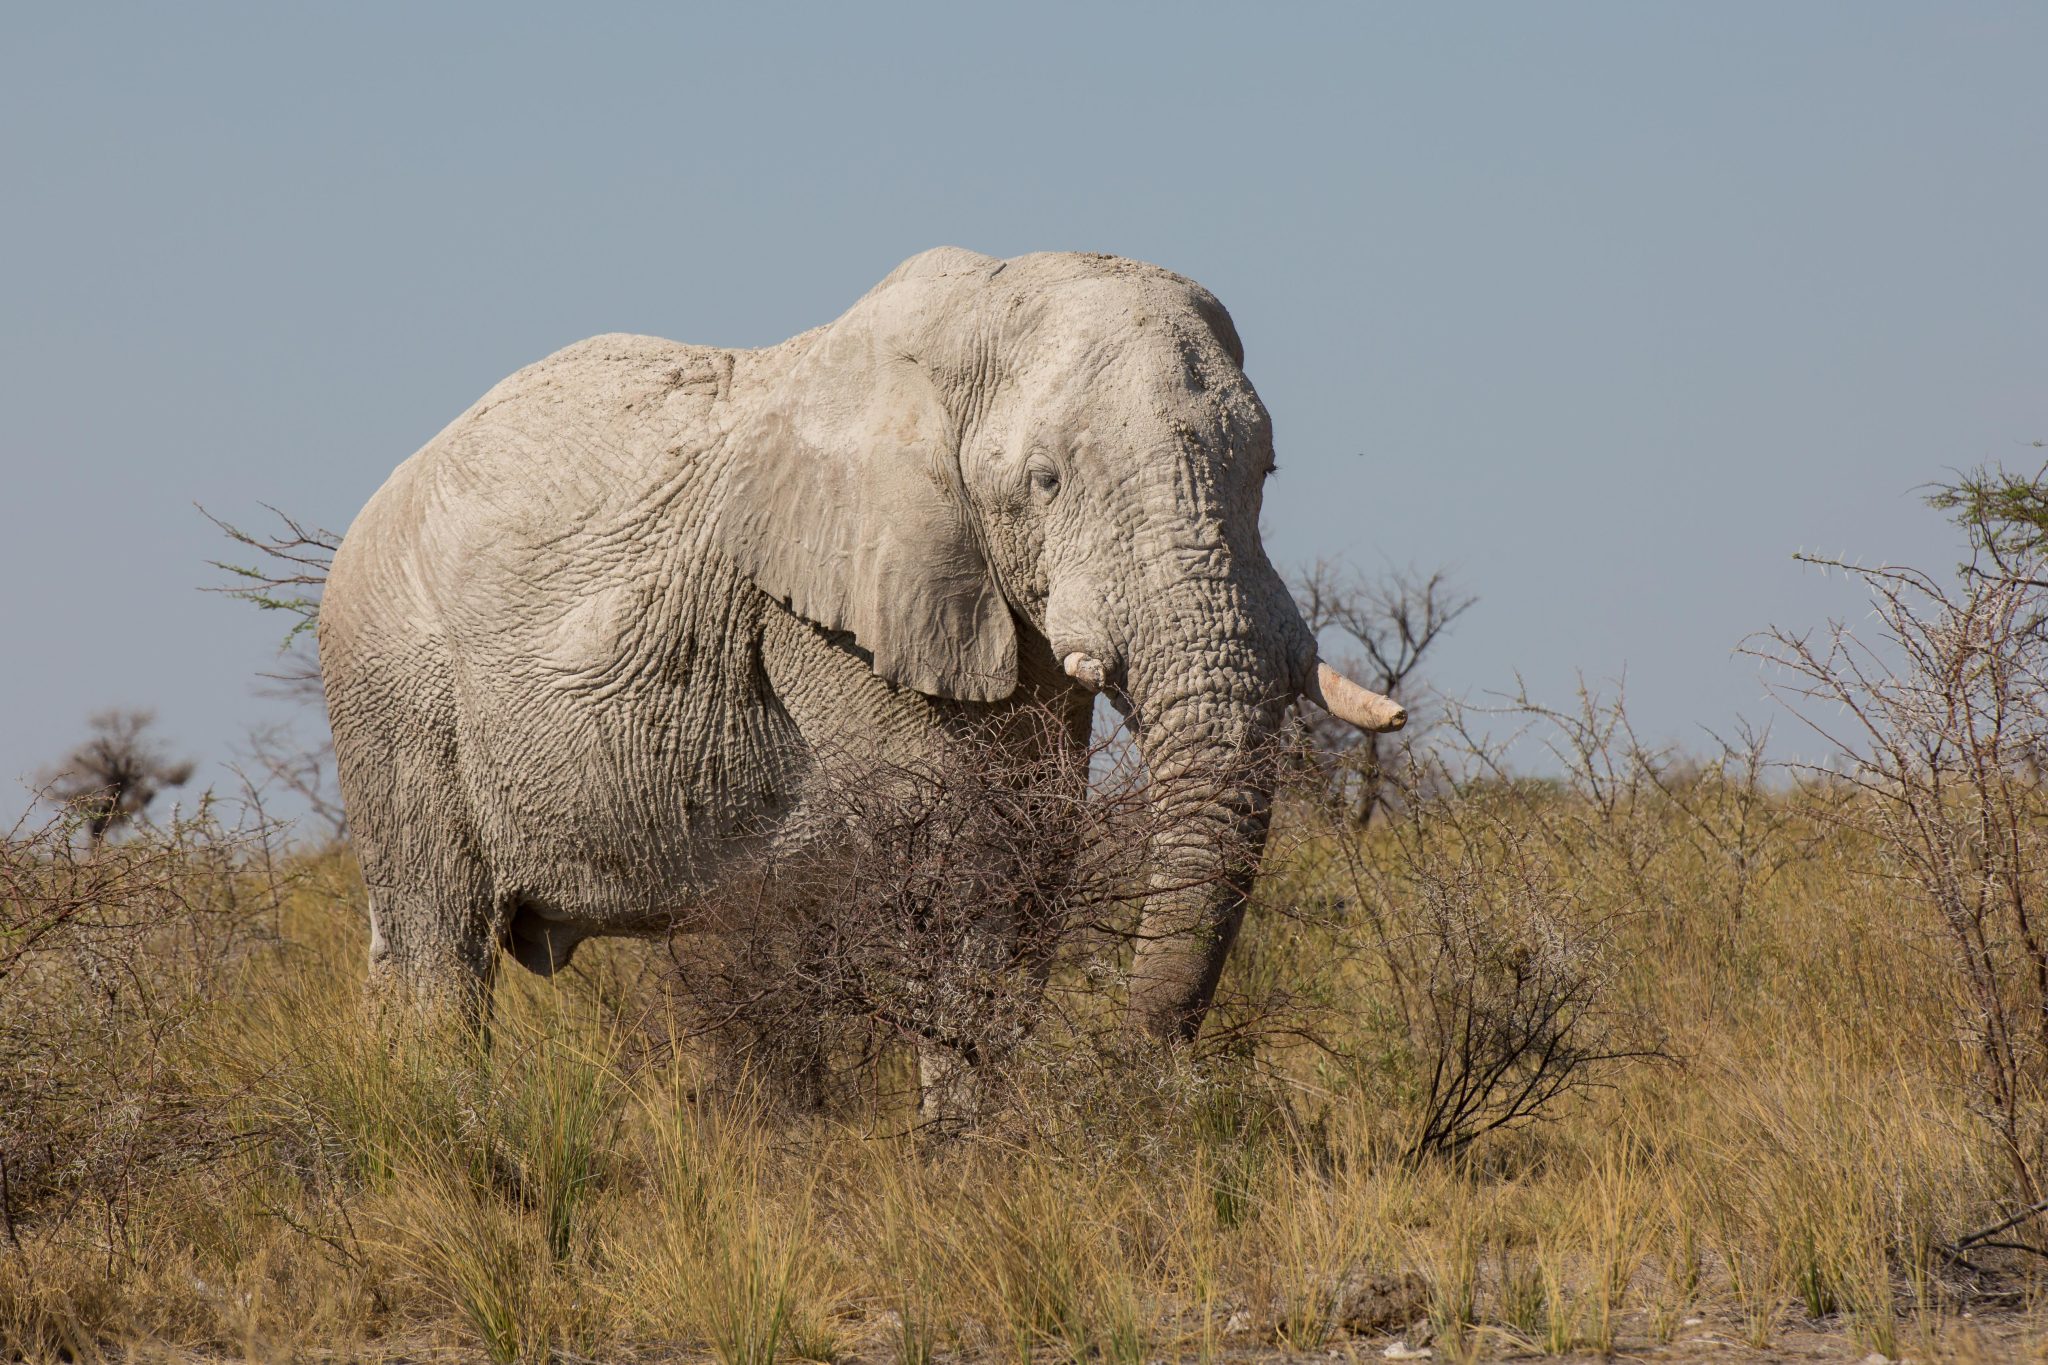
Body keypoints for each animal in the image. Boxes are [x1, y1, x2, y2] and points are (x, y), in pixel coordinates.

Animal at [319, 246, 1403, 1062]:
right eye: (1045, 480)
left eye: (1266, 471)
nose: (1131, 1068)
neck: (968, 319)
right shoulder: (824, 623)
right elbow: (966, 856)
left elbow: (1033, 850)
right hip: (395, 692)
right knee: (439, 952)